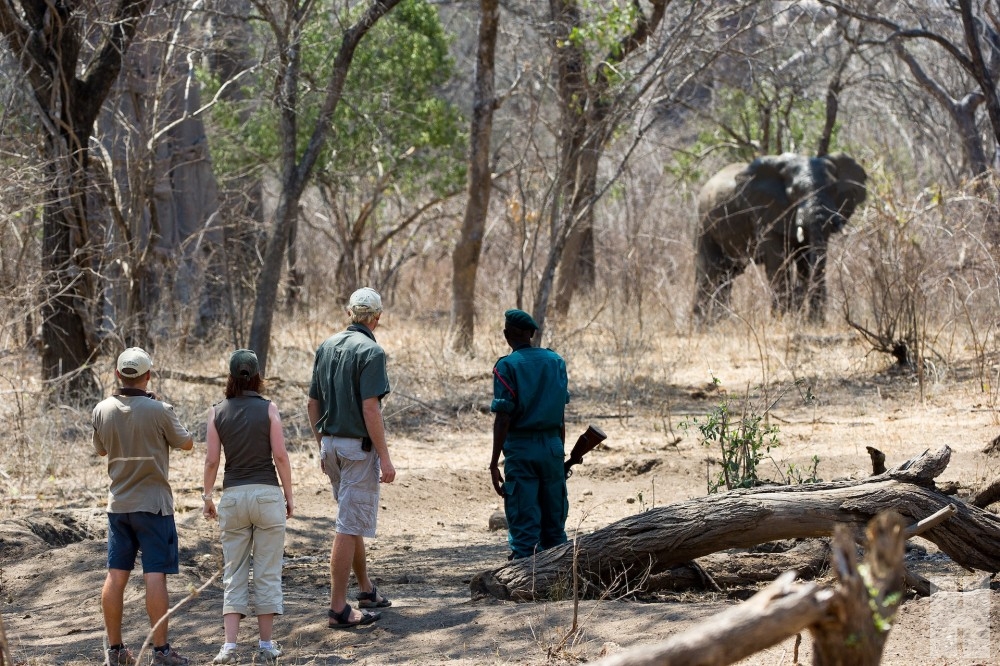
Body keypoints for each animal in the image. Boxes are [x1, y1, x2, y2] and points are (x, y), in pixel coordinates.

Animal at [696, 154, 868, 324]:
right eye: (794, 193)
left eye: (834, 190)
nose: (815, 321)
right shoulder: (765, 212)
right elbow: (778, 263)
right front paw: (781, 319)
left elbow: (807, 262)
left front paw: (809, 323)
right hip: (704, 225)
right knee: (710, 273)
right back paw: (704, 324)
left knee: (727, 276)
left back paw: (719, 321)